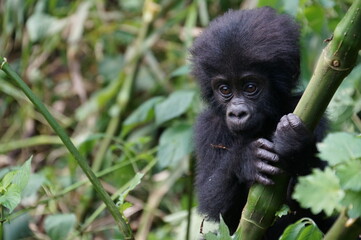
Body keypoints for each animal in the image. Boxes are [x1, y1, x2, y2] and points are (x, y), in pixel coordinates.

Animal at [190, 6, 328, 238]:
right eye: (224, 89)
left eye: (250, 87)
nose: (237, 113)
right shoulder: (208, 126)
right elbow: (214, 203)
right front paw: (246, 159)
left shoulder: (311, 105)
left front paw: (295, 144)